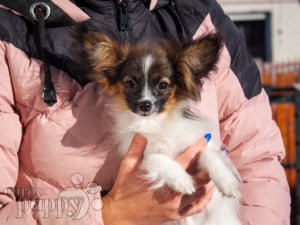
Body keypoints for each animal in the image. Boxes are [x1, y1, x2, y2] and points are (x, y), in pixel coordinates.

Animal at [83, 32, 243, 225]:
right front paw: (181, 179)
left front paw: (227, 182)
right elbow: (156, 158)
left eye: (163, 85)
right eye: (130, 84)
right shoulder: (139, 160)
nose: (145, 105)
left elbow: (209, 155)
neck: (156, 122)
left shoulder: (197, 144)